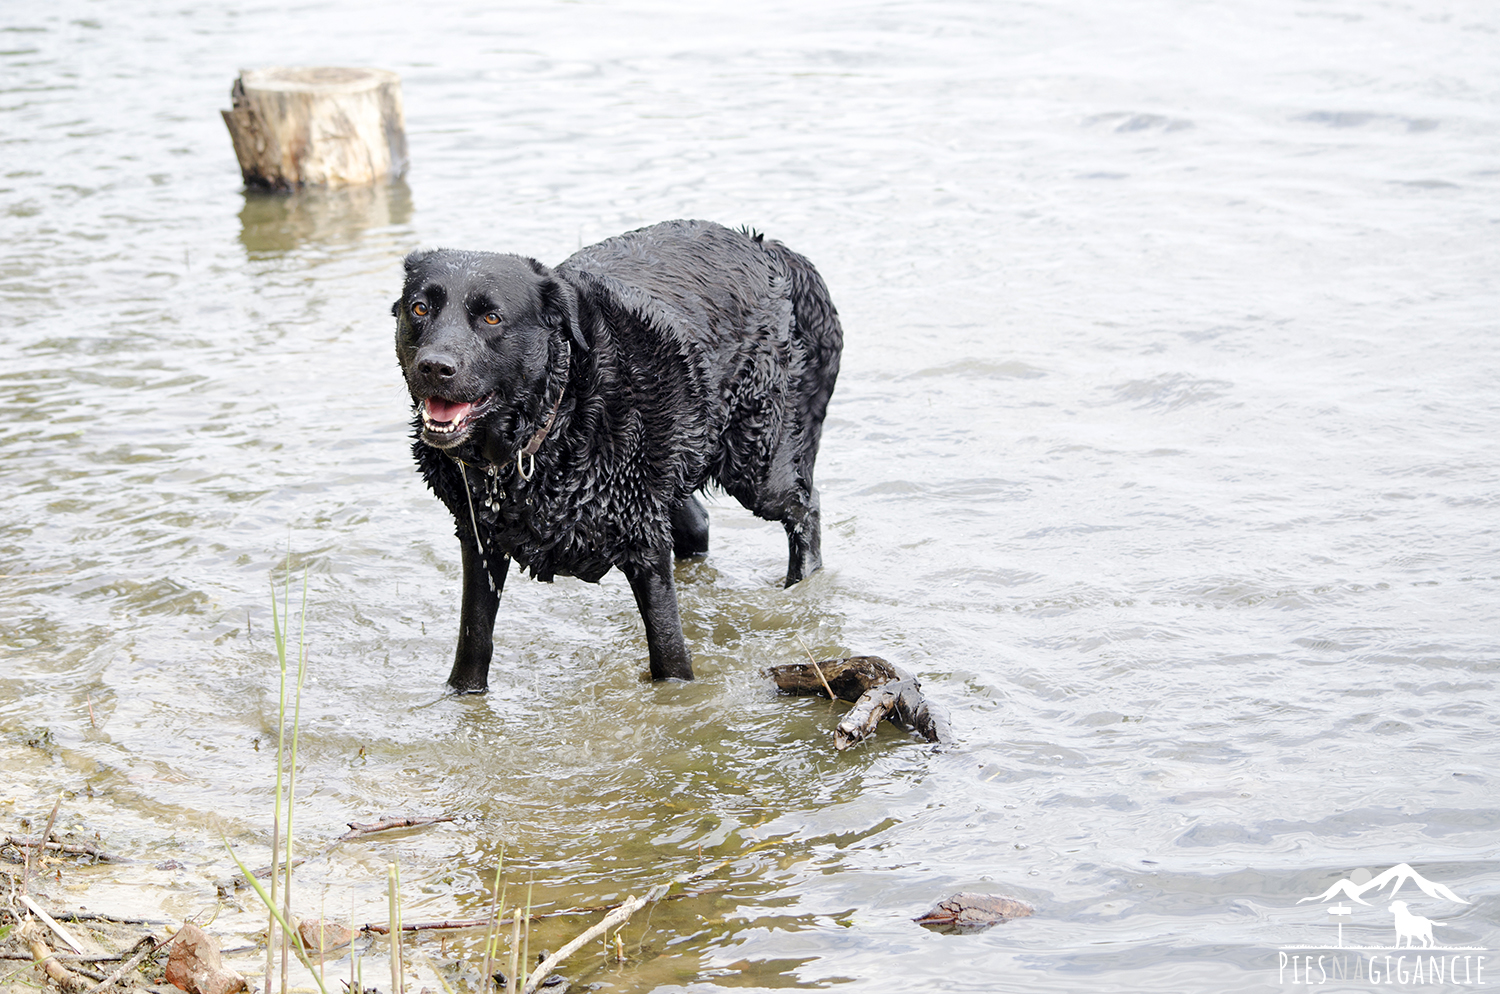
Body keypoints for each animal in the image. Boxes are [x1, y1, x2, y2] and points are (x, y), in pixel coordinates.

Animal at [393, 220, 846, 692]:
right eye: (420, 308)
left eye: (491, 317)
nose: (434, 366)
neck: (554, 425)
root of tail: (767, 247)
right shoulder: (480, 538)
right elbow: (473, 643)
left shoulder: (645, 545)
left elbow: (668, 652)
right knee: (699, 523)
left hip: (754, 463)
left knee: (804, 506)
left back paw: (800, 582)